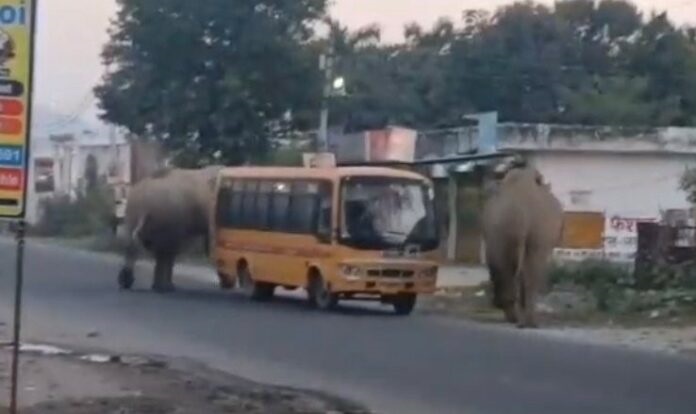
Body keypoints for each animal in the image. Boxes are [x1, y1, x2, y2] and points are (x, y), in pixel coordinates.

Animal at [482, 163, 564, 328]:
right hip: (536, 231)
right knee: (529, 270)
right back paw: (529, 322)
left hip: (505, 230)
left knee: (504, 268)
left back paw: (517, 318)